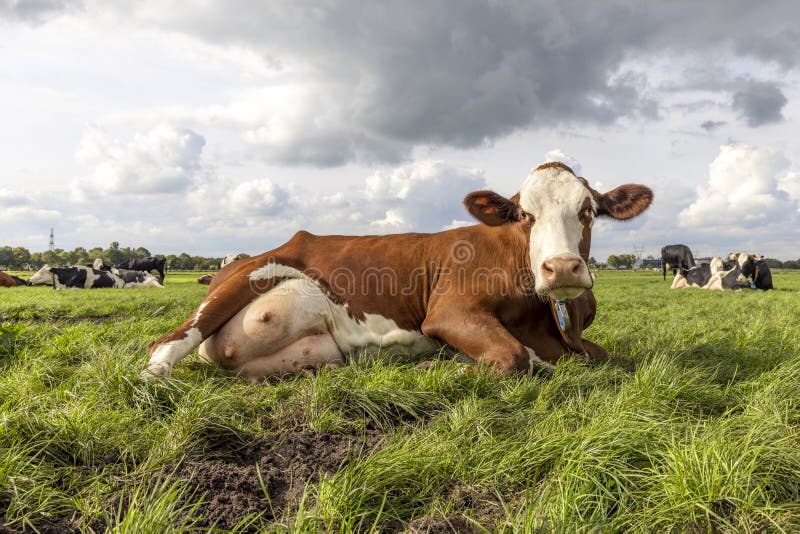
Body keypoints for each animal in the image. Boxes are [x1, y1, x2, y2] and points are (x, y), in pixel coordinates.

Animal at [144, 161, 652, 384]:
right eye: (524, 215)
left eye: (589, 211)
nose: (562, 266)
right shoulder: (449, 311)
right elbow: (512, 357)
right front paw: (439, 365)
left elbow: (599, 355)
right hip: (246, 277)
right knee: (166, 344)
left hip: (315, 353)